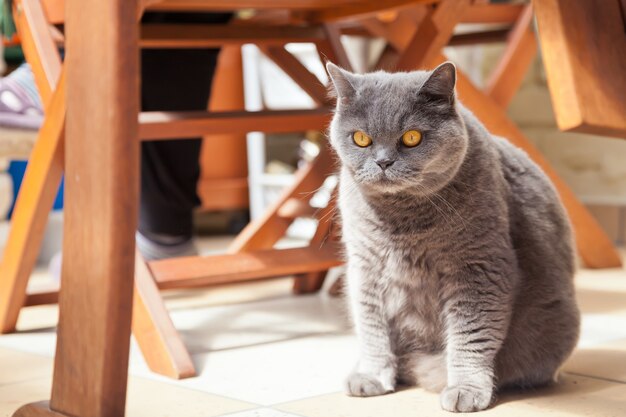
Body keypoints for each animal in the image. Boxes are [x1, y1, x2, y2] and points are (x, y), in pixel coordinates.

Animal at [324, 60, 576, 412]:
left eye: (412, 137)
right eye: (360, 138)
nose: (383, 161)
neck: (403, 221)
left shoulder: (479, 268)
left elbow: (470, 336)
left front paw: (465, 390)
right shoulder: (365, 266)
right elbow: (371, 325)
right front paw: (372, 375)